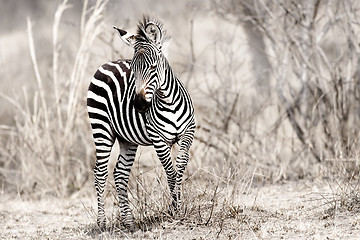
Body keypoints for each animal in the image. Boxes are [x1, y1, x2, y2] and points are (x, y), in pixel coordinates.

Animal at [87, 15, 195, 232]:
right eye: (133, 70)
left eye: (153, 67)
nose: (138, 105)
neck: (168, 101)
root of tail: (105, 64)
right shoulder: (159, 140)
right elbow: (170, 172)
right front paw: (174, 210)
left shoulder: (188, 131)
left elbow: (180, 164)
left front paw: (179, 204)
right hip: (101, 129)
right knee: (100, 173)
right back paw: (102, 223)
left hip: (127, 139)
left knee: (120, 173)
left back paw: (129, 223)